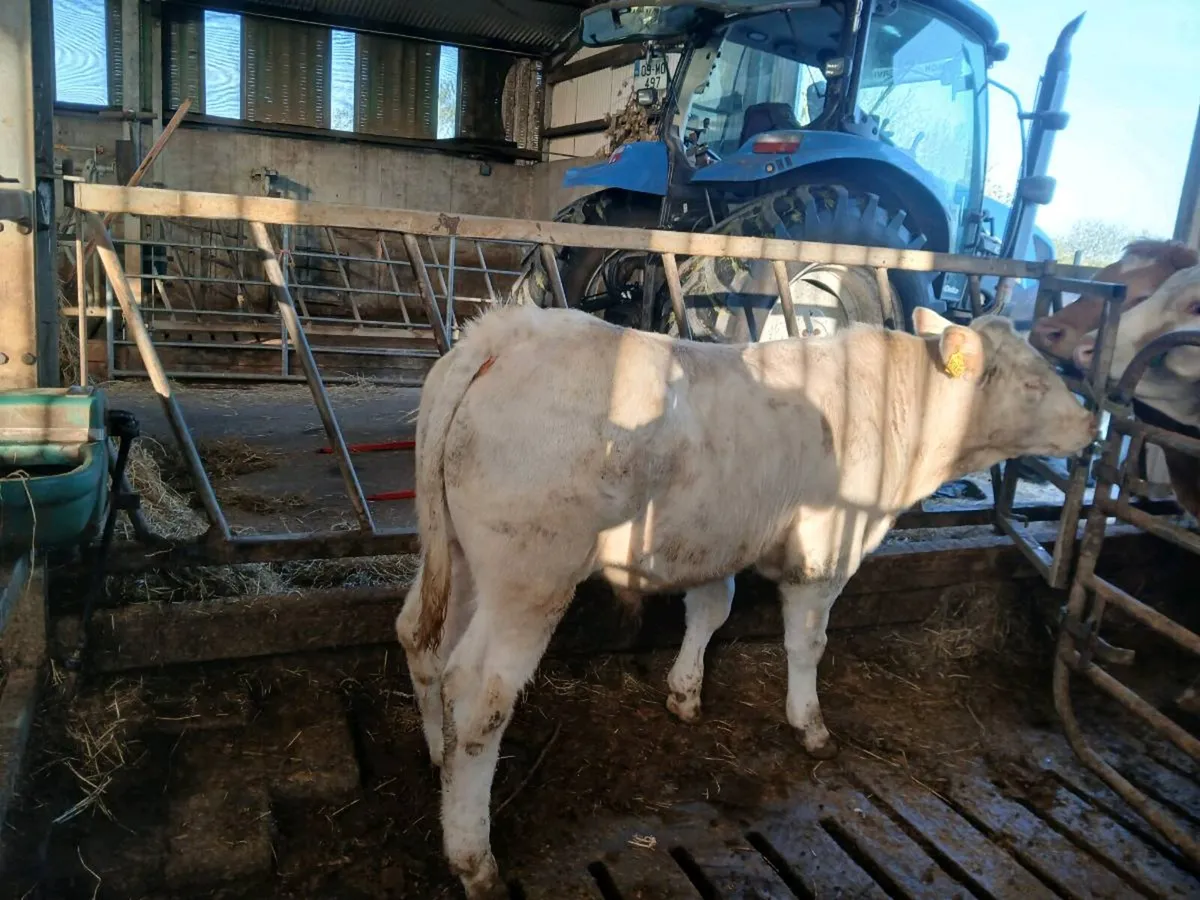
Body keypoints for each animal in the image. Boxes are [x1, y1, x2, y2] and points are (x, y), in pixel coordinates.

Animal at [395, 304, 1096, 899]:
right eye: (1033, 383)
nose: (1092, 423)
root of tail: (504, 332)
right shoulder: (826, 549)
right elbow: (807, 642)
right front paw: (810, 726)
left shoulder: (718, 538)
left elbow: (711, 610)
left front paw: (685, 695)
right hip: (530, 573)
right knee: (478, 694)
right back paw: (473, 856)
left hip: (456, 554)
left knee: (420, 639)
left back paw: (436, 758)